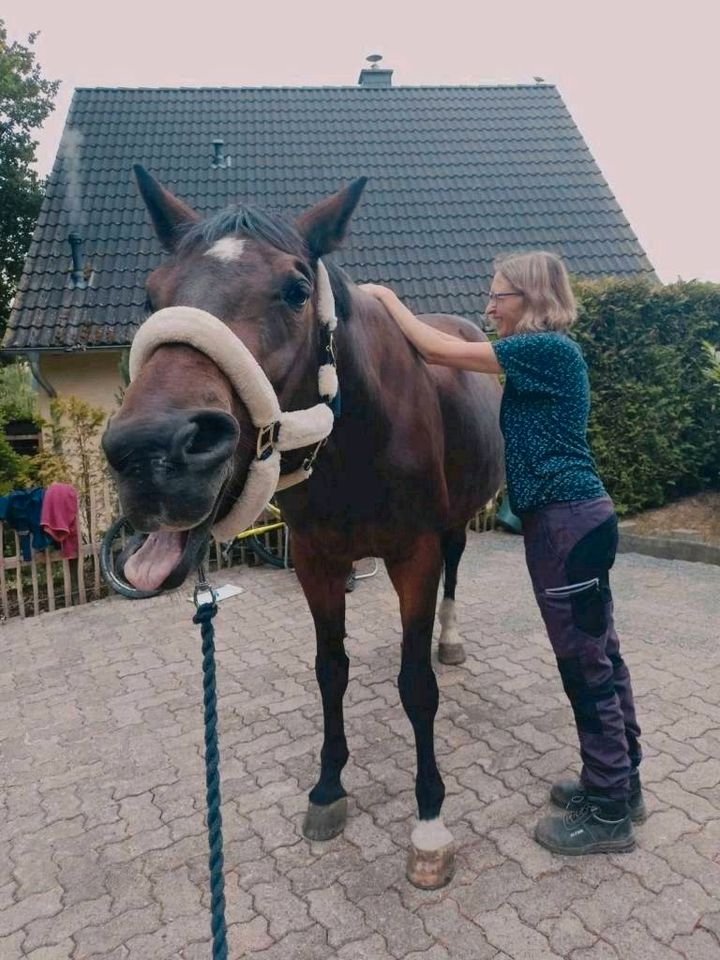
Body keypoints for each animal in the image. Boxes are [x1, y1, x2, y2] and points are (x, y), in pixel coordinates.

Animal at [104, 167, 504, 892]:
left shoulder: (416, 555)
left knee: (456, 572)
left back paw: (449, 638)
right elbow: (330, 670)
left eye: (294, 289)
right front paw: (328, 787)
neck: (359, 438)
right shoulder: (318, 562)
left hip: (456, 523)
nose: (151, 454)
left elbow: (416, 687)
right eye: (151, 295)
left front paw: (429, 821)